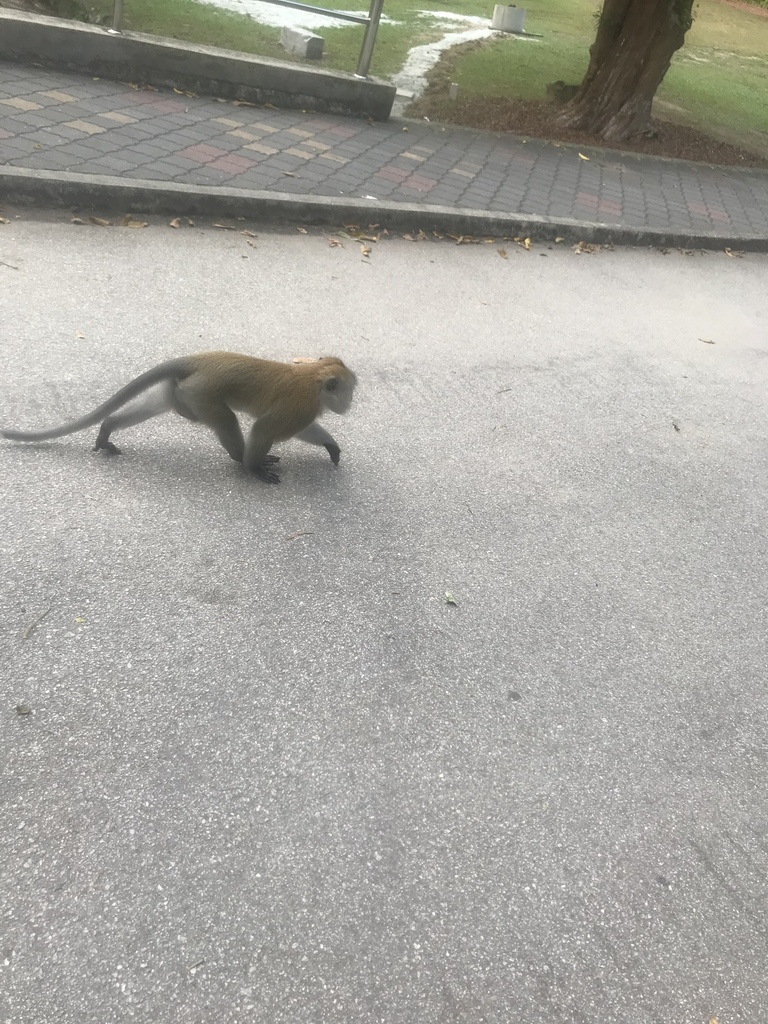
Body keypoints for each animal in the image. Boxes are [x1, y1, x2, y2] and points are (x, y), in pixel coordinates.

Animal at [2, 352, 358, 483]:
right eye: (350, 390)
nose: (351, 403)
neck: (315, 378)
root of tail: (198, 359)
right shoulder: (301, 407)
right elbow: (265, 427)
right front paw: (253, 468)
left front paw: (331, 446)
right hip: (201, 394)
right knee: (227, 421)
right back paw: (240, 458)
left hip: (181, 391)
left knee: (153, 405)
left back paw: (107, 428)